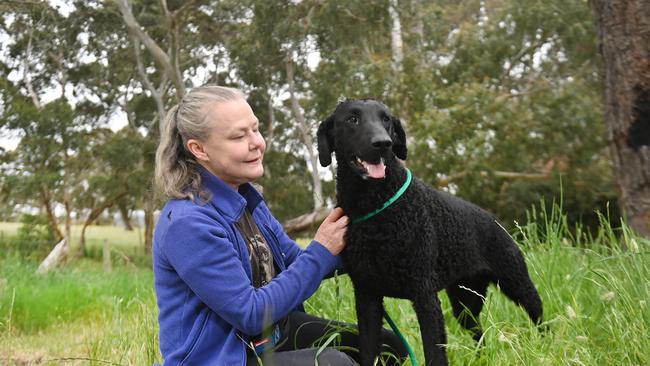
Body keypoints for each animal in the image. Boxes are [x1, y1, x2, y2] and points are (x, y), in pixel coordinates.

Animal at [316, 98, 540, 364]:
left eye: (386, 119)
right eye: (352, 119)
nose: (383, 143)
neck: (376, 207)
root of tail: (494, 219)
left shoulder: (425, 295)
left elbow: (434, 353)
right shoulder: (367, 296)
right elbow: (369, 351)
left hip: (517, 283)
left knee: (540, 318)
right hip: (465, 301)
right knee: (479, 333)